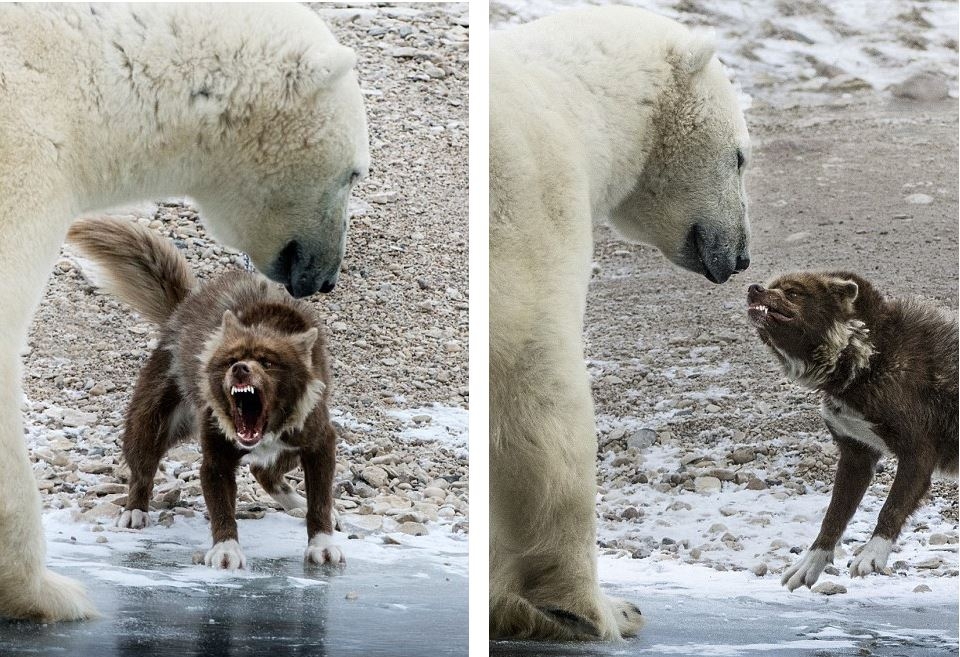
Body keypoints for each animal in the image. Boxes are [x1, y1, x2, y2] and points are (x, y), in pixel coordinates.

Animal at [66, 218, 342, 568]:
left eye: (267, 361)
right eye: (230, 358)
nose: (240, 369)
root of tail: (182, 310)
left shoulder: (319, 440)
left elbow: (320, 499)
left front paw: (322, 543)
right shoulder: (217, 455)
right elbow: (221, 506)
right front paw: (226, 550)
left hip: (291, 445)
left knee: (263, 469)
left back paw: (296, 502)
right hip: (152, 421)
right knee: (142, 468)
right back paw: (135, 511)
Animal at [752, 272, 960, 588]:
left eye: (793, 293)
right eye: (771, 286)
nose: (753, 288)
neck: (870, 354)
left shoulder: (918, 454)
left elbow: (891, 507)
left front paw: (874, 553)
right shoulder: (856, 457)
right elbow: (833, 516)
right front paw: (812, 561)